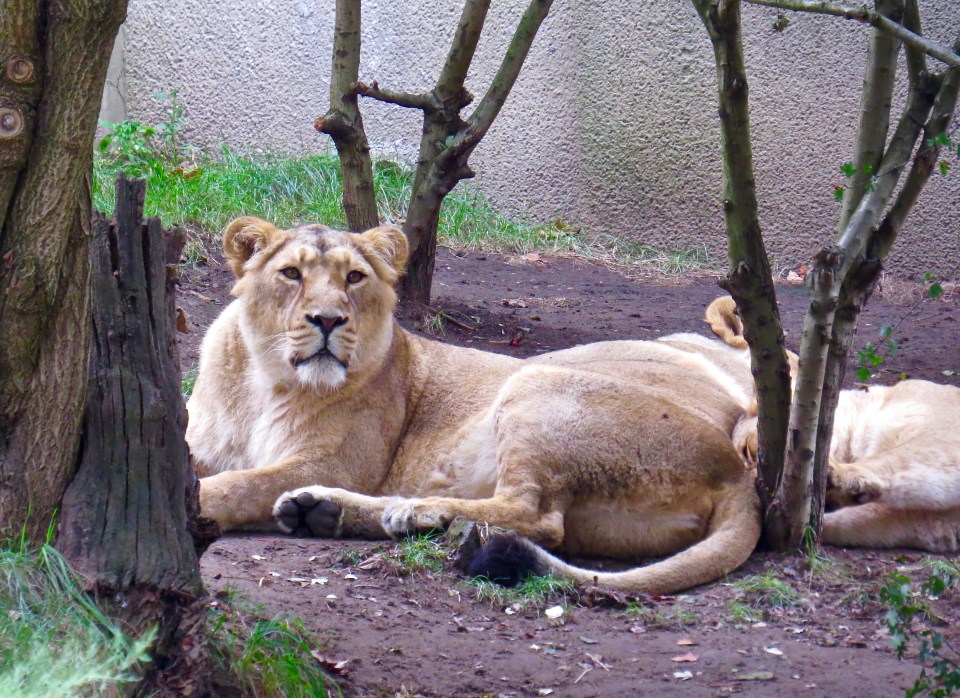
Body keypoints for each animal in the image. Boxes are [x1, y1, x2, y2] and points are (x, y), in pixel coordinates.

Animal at [187, 217, 765, 594]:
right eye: (291, 274)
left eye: (354, 277)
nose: (328, 319)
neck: (262, 383)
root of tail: (736, 471)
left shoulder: (335, 463)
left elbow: (239, 484)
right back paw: (322, 511)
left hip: (533, 384)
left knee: (535, 516)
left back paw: (412, 510)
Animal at [706, 296, 960, 553]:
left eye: (749, 451)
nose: (758, 490)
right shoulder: (935, 523)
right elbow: (857, 520)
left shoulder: (942, 431)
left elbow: (898, 459)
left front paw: (834, 479)